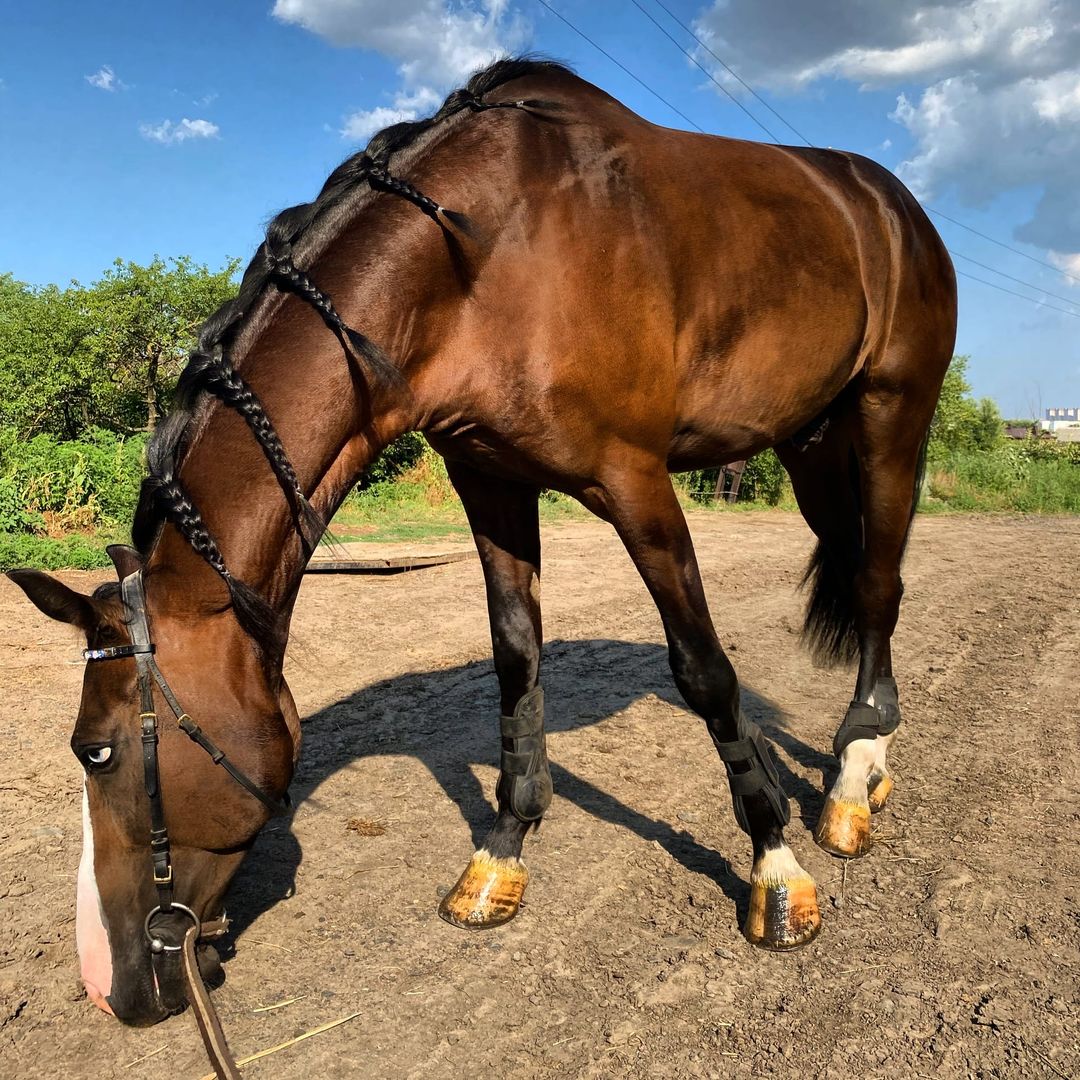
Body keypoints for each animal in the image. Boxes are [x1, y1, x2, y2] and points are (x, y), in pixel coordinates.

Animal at [6, 56, 954, 1045]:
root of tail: (892, 205)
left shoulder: (636, 482)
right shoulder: (491, 481)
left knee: (878, 586)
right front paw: (501, 853)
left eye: (96, 752)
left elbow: (703, 670)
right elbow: (516, 659)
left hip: (892, 417)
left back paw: (852, 783)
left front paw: (775, 868)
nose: (108, 986)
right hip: (810, 442)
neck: (484, 260)